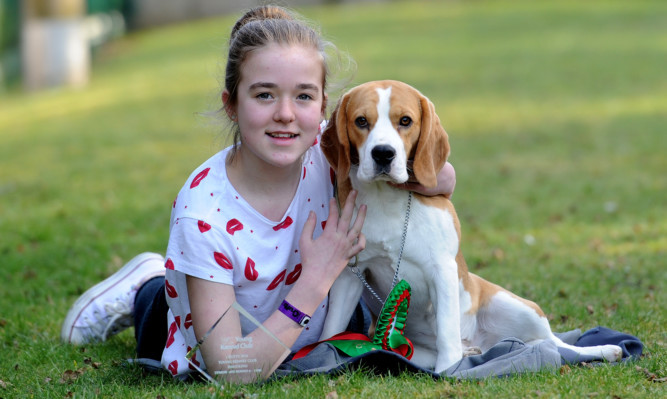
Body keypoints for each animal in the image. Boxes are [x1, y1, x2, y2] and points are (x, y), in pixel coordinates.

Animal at [320, 80, 624, 376]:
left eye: (405, 121)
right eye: (361, 121)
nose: (383, 154)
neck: (387, 201)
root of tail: (483, 342)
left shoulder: (441, 269)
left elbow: (446, 332)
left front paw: (448, 371)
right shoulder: (351, 274)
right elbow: (332, 328)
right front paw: (325, 356)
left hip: (517, 307)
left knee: (555, 344)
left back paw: (605, 350)